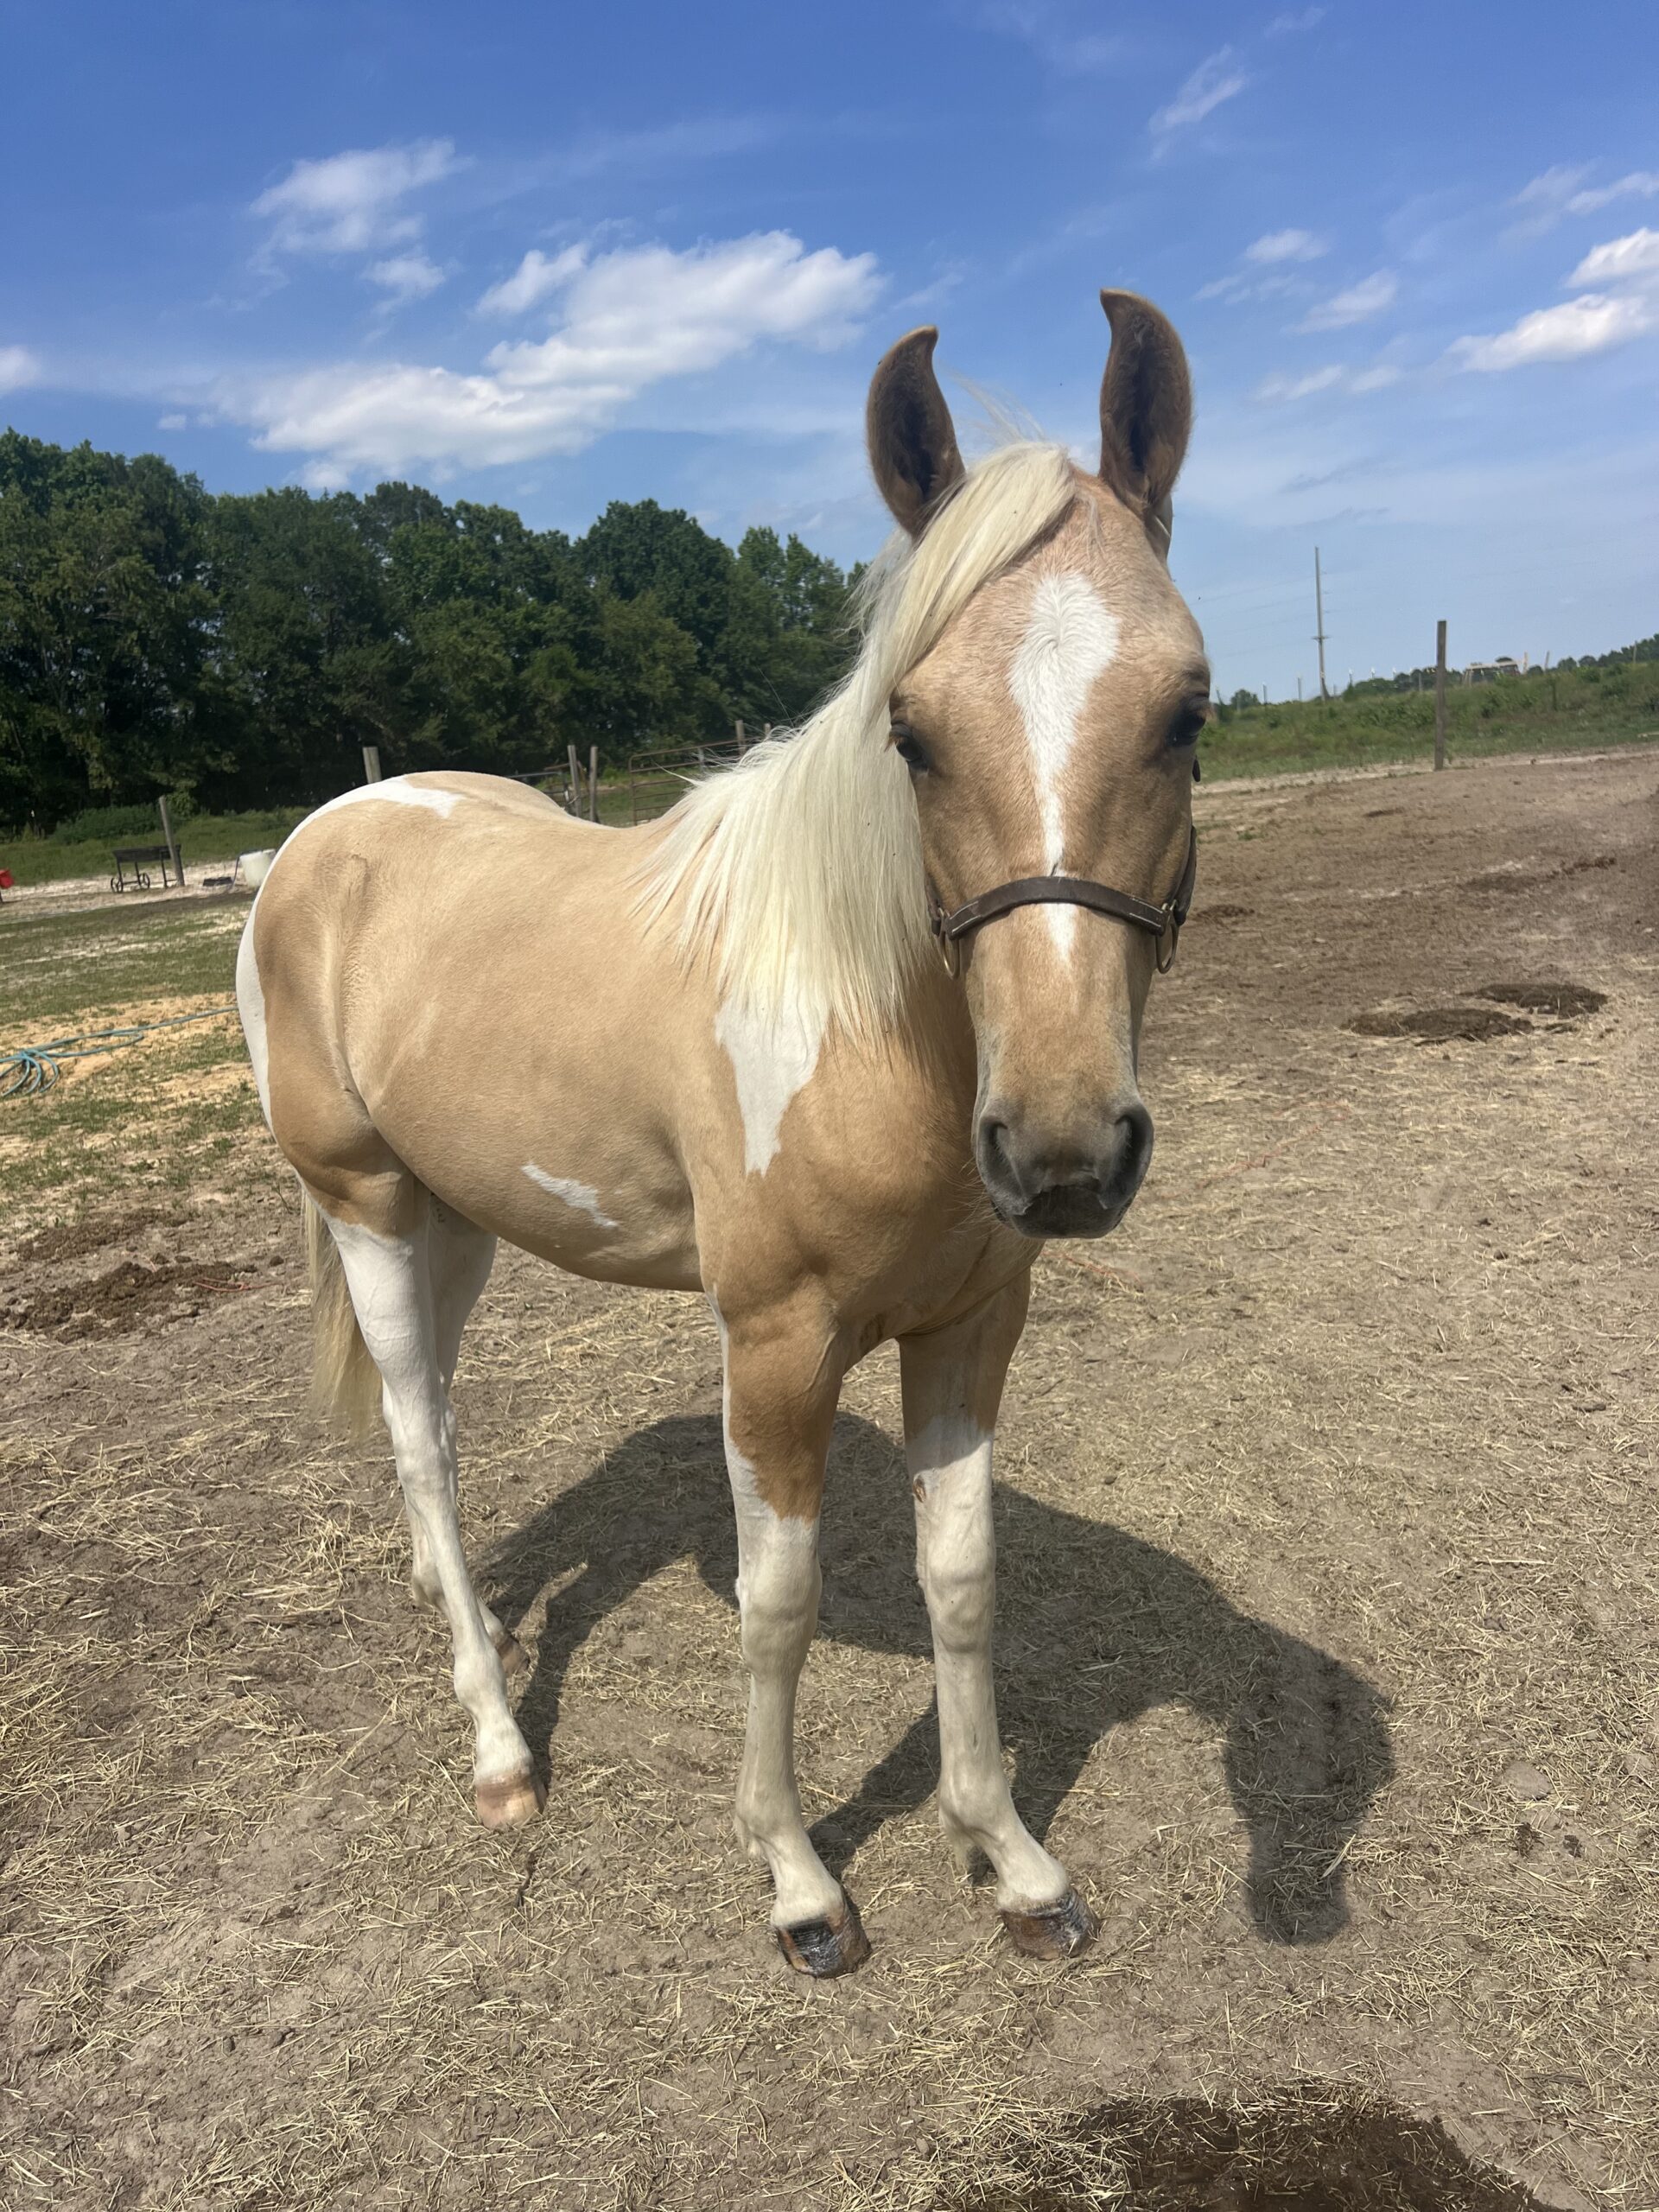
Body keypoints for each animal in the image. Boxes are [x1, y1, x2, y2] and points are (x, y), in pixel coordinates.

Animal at [237, 289, 1210, 1979]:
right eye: (911, 734)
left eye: (1187, 710)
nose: (1064, 1152)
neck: (861, 1022)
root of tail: (320, 840)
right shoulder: (774, 1345)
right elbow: (780, 1601)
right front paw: (800, 1881)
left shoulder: (971, 1325)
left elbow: (964, 1581)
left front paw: (1012, 1860)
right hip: (363, 1207)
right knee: (418, 1438)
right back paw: (500, 1748)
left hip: (458, 1220)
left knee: (441, 1448)